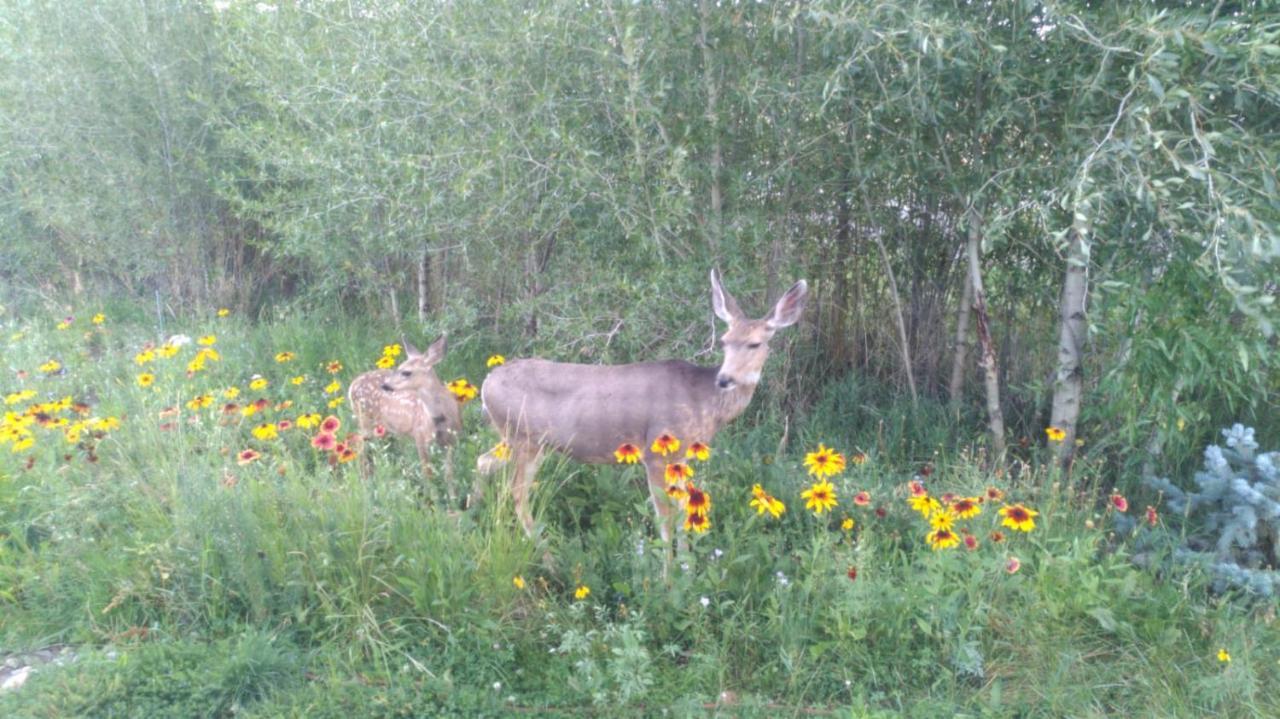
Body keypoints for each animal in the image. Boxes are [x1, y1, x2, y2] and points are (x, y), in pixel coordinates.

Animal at [348, 332, 463, 501]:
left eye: (406, 372)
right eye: (398, 367)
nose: (385, 385)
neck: (440, 418)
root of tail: (352, 386)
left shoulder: (452, 440)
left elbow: (449, 473)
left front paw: (453, 499)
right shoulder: (420, 436)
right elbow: (428, 473)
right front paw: (434, 501)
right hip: (365, 420)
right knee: (360, 447)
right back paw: (365, 484)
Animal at [476, 268, 803, 555]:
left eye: (755, 343)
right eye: (724, 342)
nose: (725, 379)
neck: (703, 400)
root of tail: (486, 384)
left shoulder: (681, 457)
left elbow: (684, 514)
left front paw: (687, 568)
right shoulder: (655, 451)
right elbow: (665, 521)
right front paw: (668, 578)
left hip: (513, 438)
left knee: (482, 463)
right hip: (526, 438)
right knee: (517, 492)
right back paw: (548, 557)